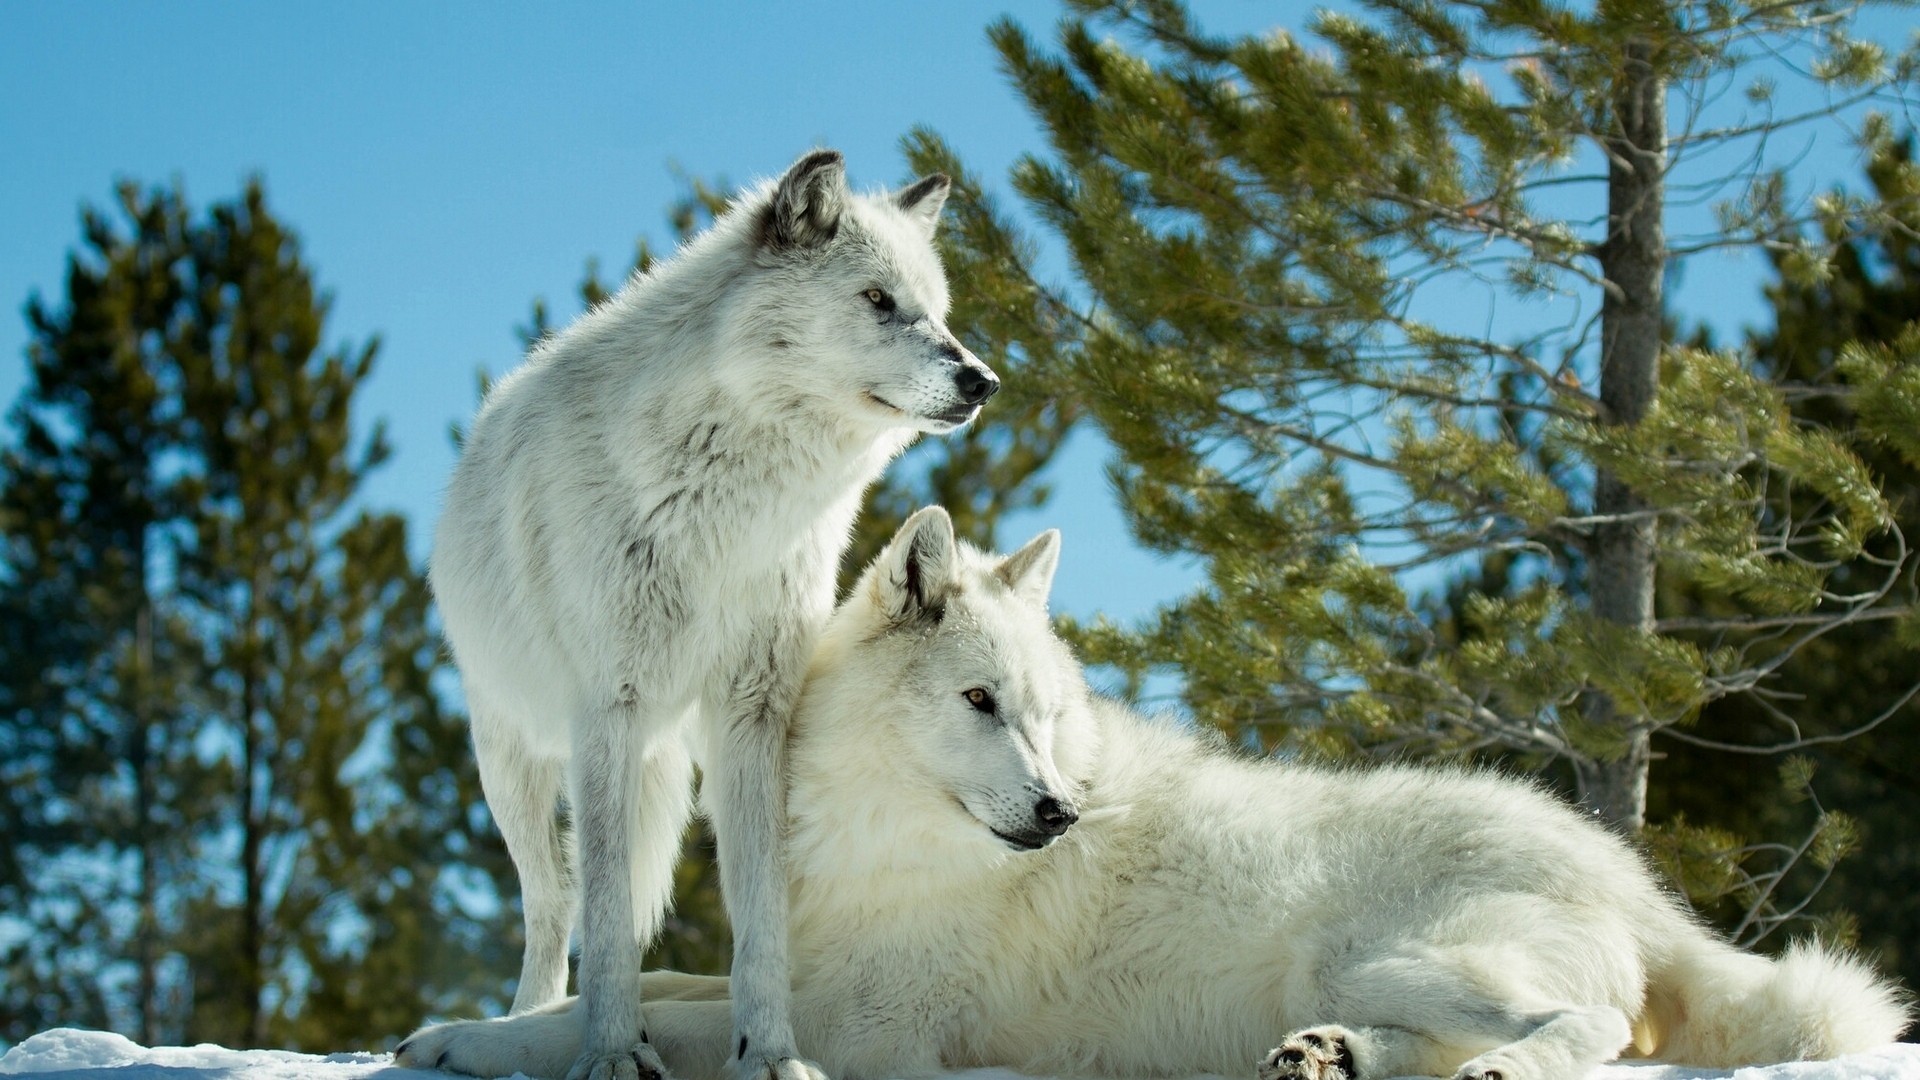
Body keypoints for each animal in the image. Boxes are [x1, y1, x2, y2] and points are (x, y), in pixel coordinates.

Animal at [405, 508, 1908, 1080]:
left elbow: (654, 1018)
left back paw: (1486, 1068)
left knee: (1587, 1033)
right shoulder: (808, 973)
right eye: (982, 704)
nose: (1058, 813)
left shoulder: (874, 1032)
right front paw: (470, 1025)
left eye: (1045, 715)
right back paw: (1326, 1061)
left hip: (1388, 950)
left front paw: (474, 1044)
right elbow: (654, 987)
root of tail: (1639, 887)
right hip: (1367, 972)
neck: (882, 834)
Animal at [424, 151, 998, 1080]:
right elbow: (606, 919)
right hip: (512, 761)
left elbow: (759, 914)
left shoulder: (755, 712)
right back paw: (523, 1024)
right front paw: (612, 1055)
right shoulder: (608, 711)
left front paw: (769, 1054)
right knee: (554, 907)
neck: (734, 504)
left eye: (938, 311)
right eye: (878, 298)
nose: (982, 380)